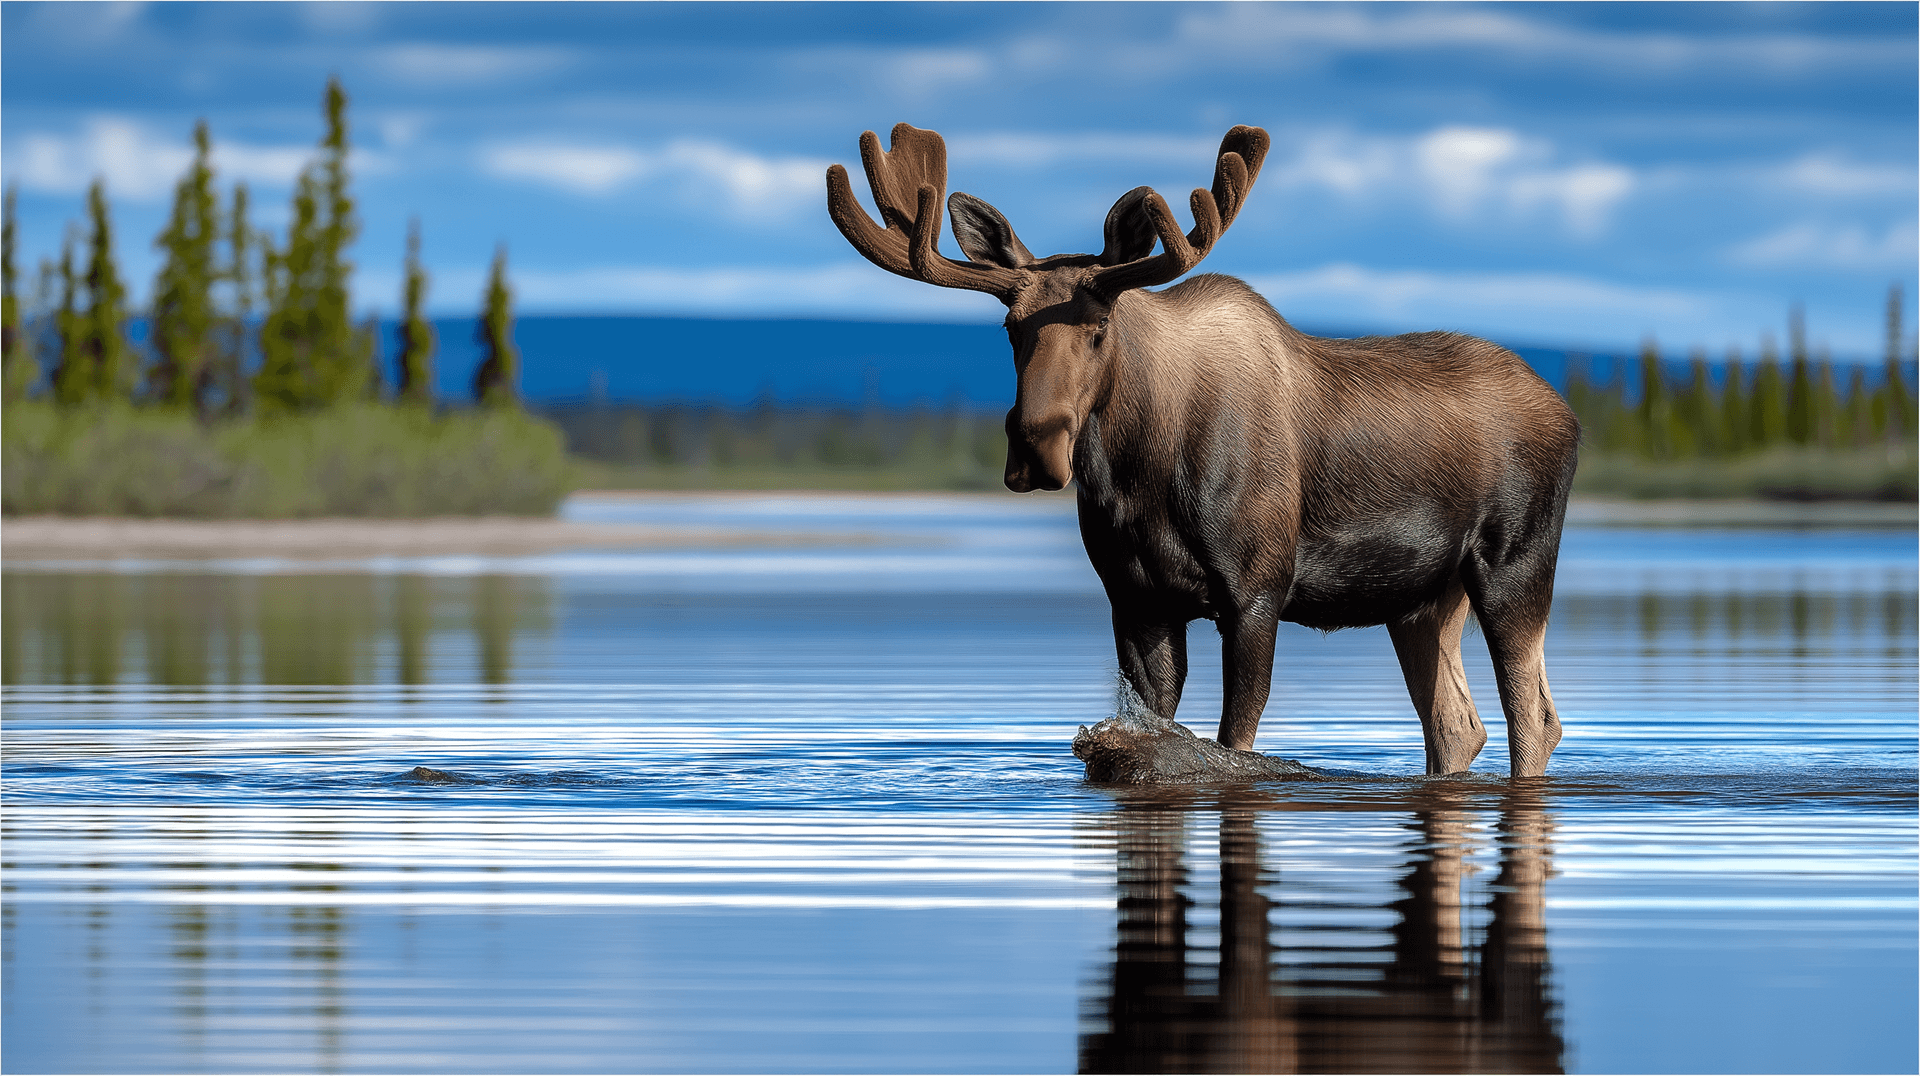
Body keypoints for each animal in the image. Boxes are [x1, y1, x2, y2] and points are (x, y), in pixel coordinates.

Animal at [825, 123, 1580, 778]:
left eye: (1099, 326)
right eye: (1011, 328)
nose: (1037, 448)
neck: (1138, 478)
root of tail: (1568, 413)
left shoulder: (1256, 591)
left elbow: (1233, 741)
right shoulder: (1136, 601)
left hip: (1513, 565)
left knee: (1534, 718)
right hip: (1422, 596)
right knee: (1456, 724)